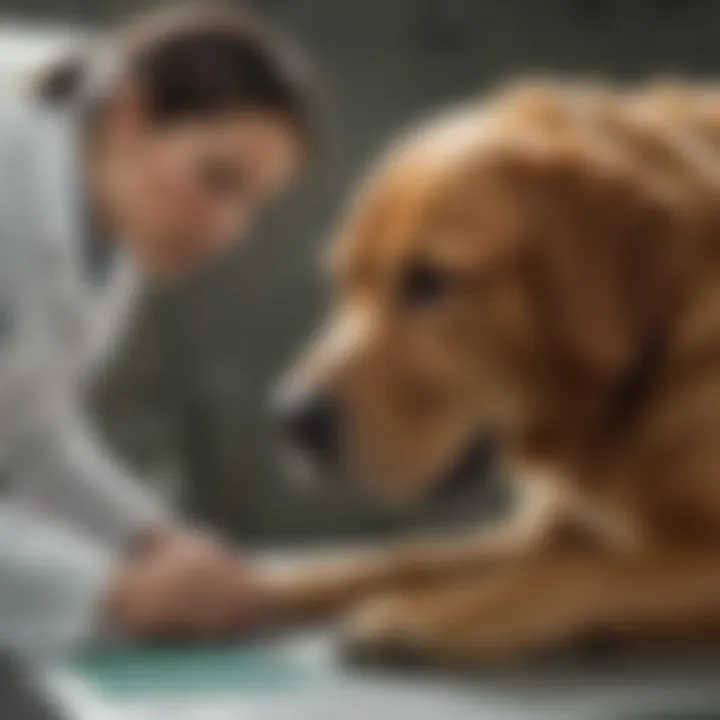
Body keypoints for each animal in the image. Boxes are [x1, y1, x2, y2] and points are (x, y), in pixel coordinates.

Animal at [268, 81, 720, 668]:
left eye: (428, 281)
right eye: (345, 281)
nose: (291, 420)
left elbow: (575, 571)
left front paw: (431, 613)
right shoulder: (541, 530)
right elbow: (415, 555)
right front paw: (286, 580)